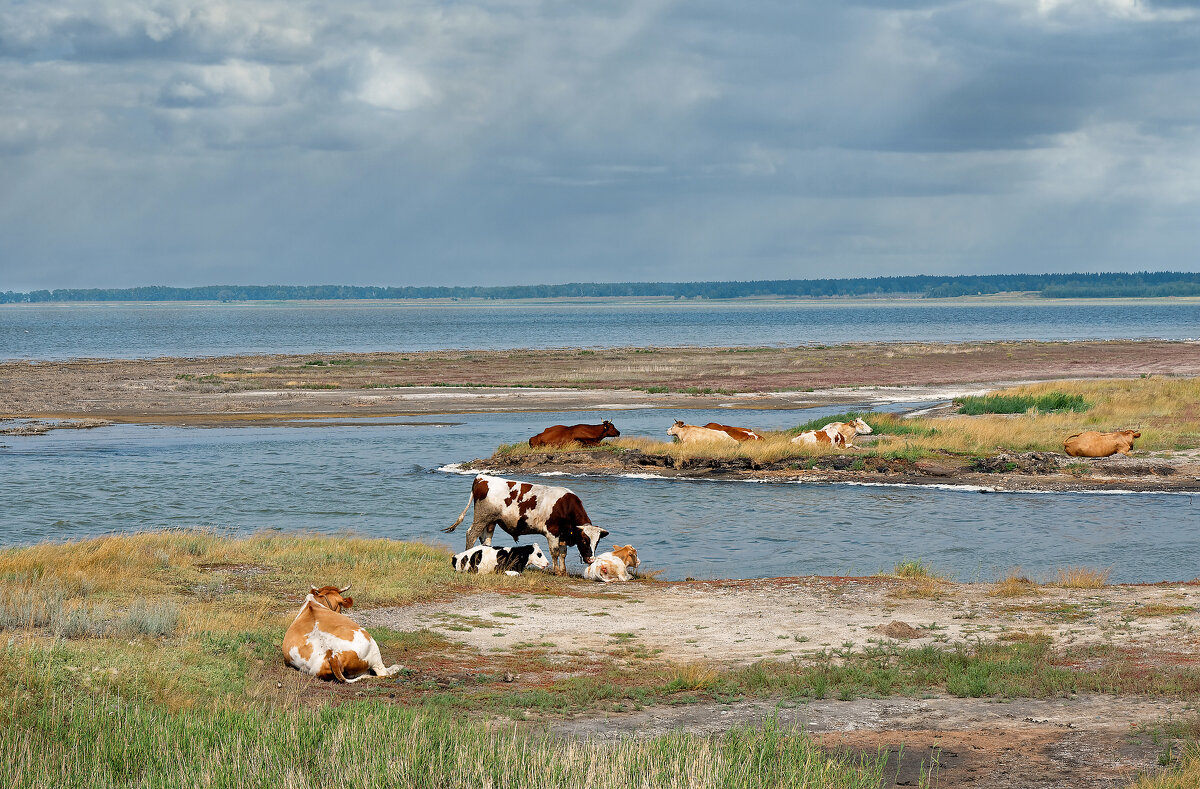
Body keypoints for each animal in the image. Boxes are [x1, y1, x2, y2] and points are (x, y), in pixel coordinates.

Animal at [444, 470, 609, 575]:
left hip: (490, 522)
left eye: (597, 542)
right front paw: (556, 571)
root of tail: (481, 478)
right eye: (584, 539)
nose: (591, 559)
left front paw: (563, 571)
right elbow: (555, 552)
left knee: (485, 539)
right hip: (481, 518)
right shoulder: (552, 532)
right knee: (471, 534)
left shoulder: (562, 535)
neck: (565, 506)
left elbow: (563, 553)